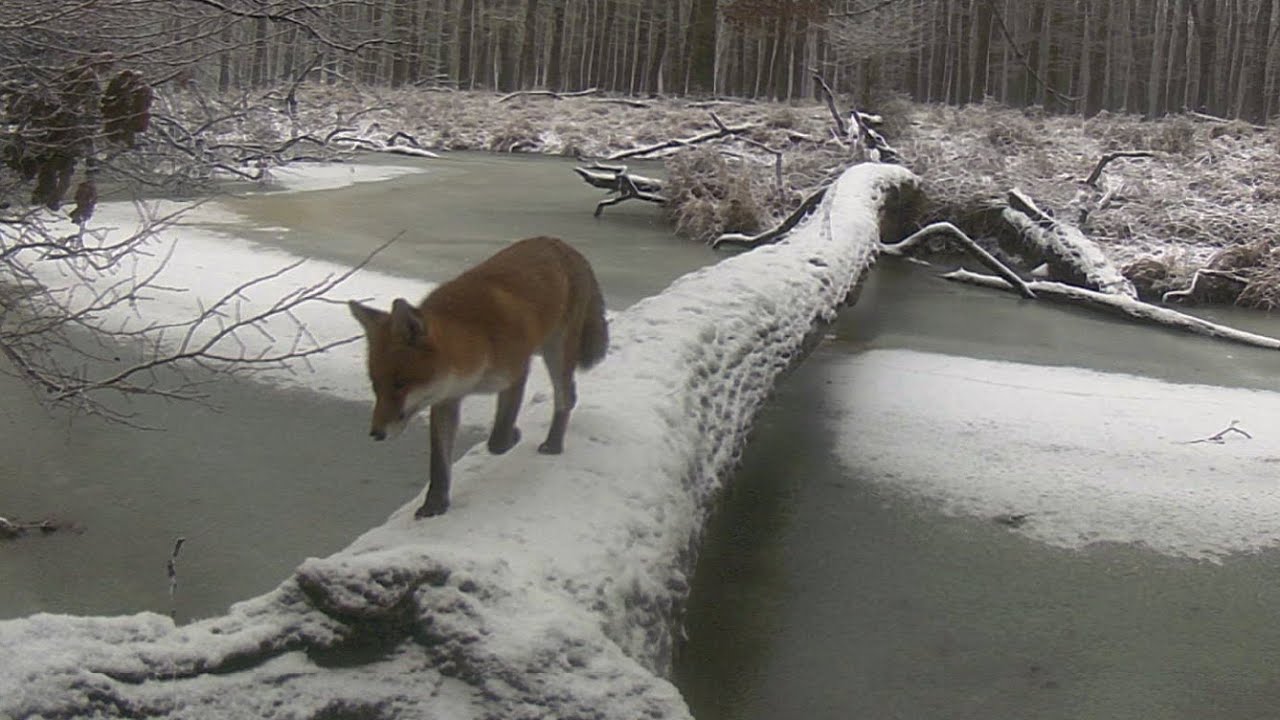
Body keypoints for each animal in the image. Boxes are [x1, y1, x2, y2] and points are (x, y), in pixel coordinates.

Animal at [348, 236, 609, 518]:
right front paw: (435, 505)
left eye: (399, 384)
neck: (476, 342)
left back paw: (553, 444)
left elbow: (498, 439)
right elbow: (438, 464)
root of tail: (557, 242)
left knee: (566, 398)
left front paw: (514, 435)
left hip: (556, 352)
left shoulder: (515, 373)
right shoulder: (446, 400)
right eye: (376, 386)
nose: (375, 433)